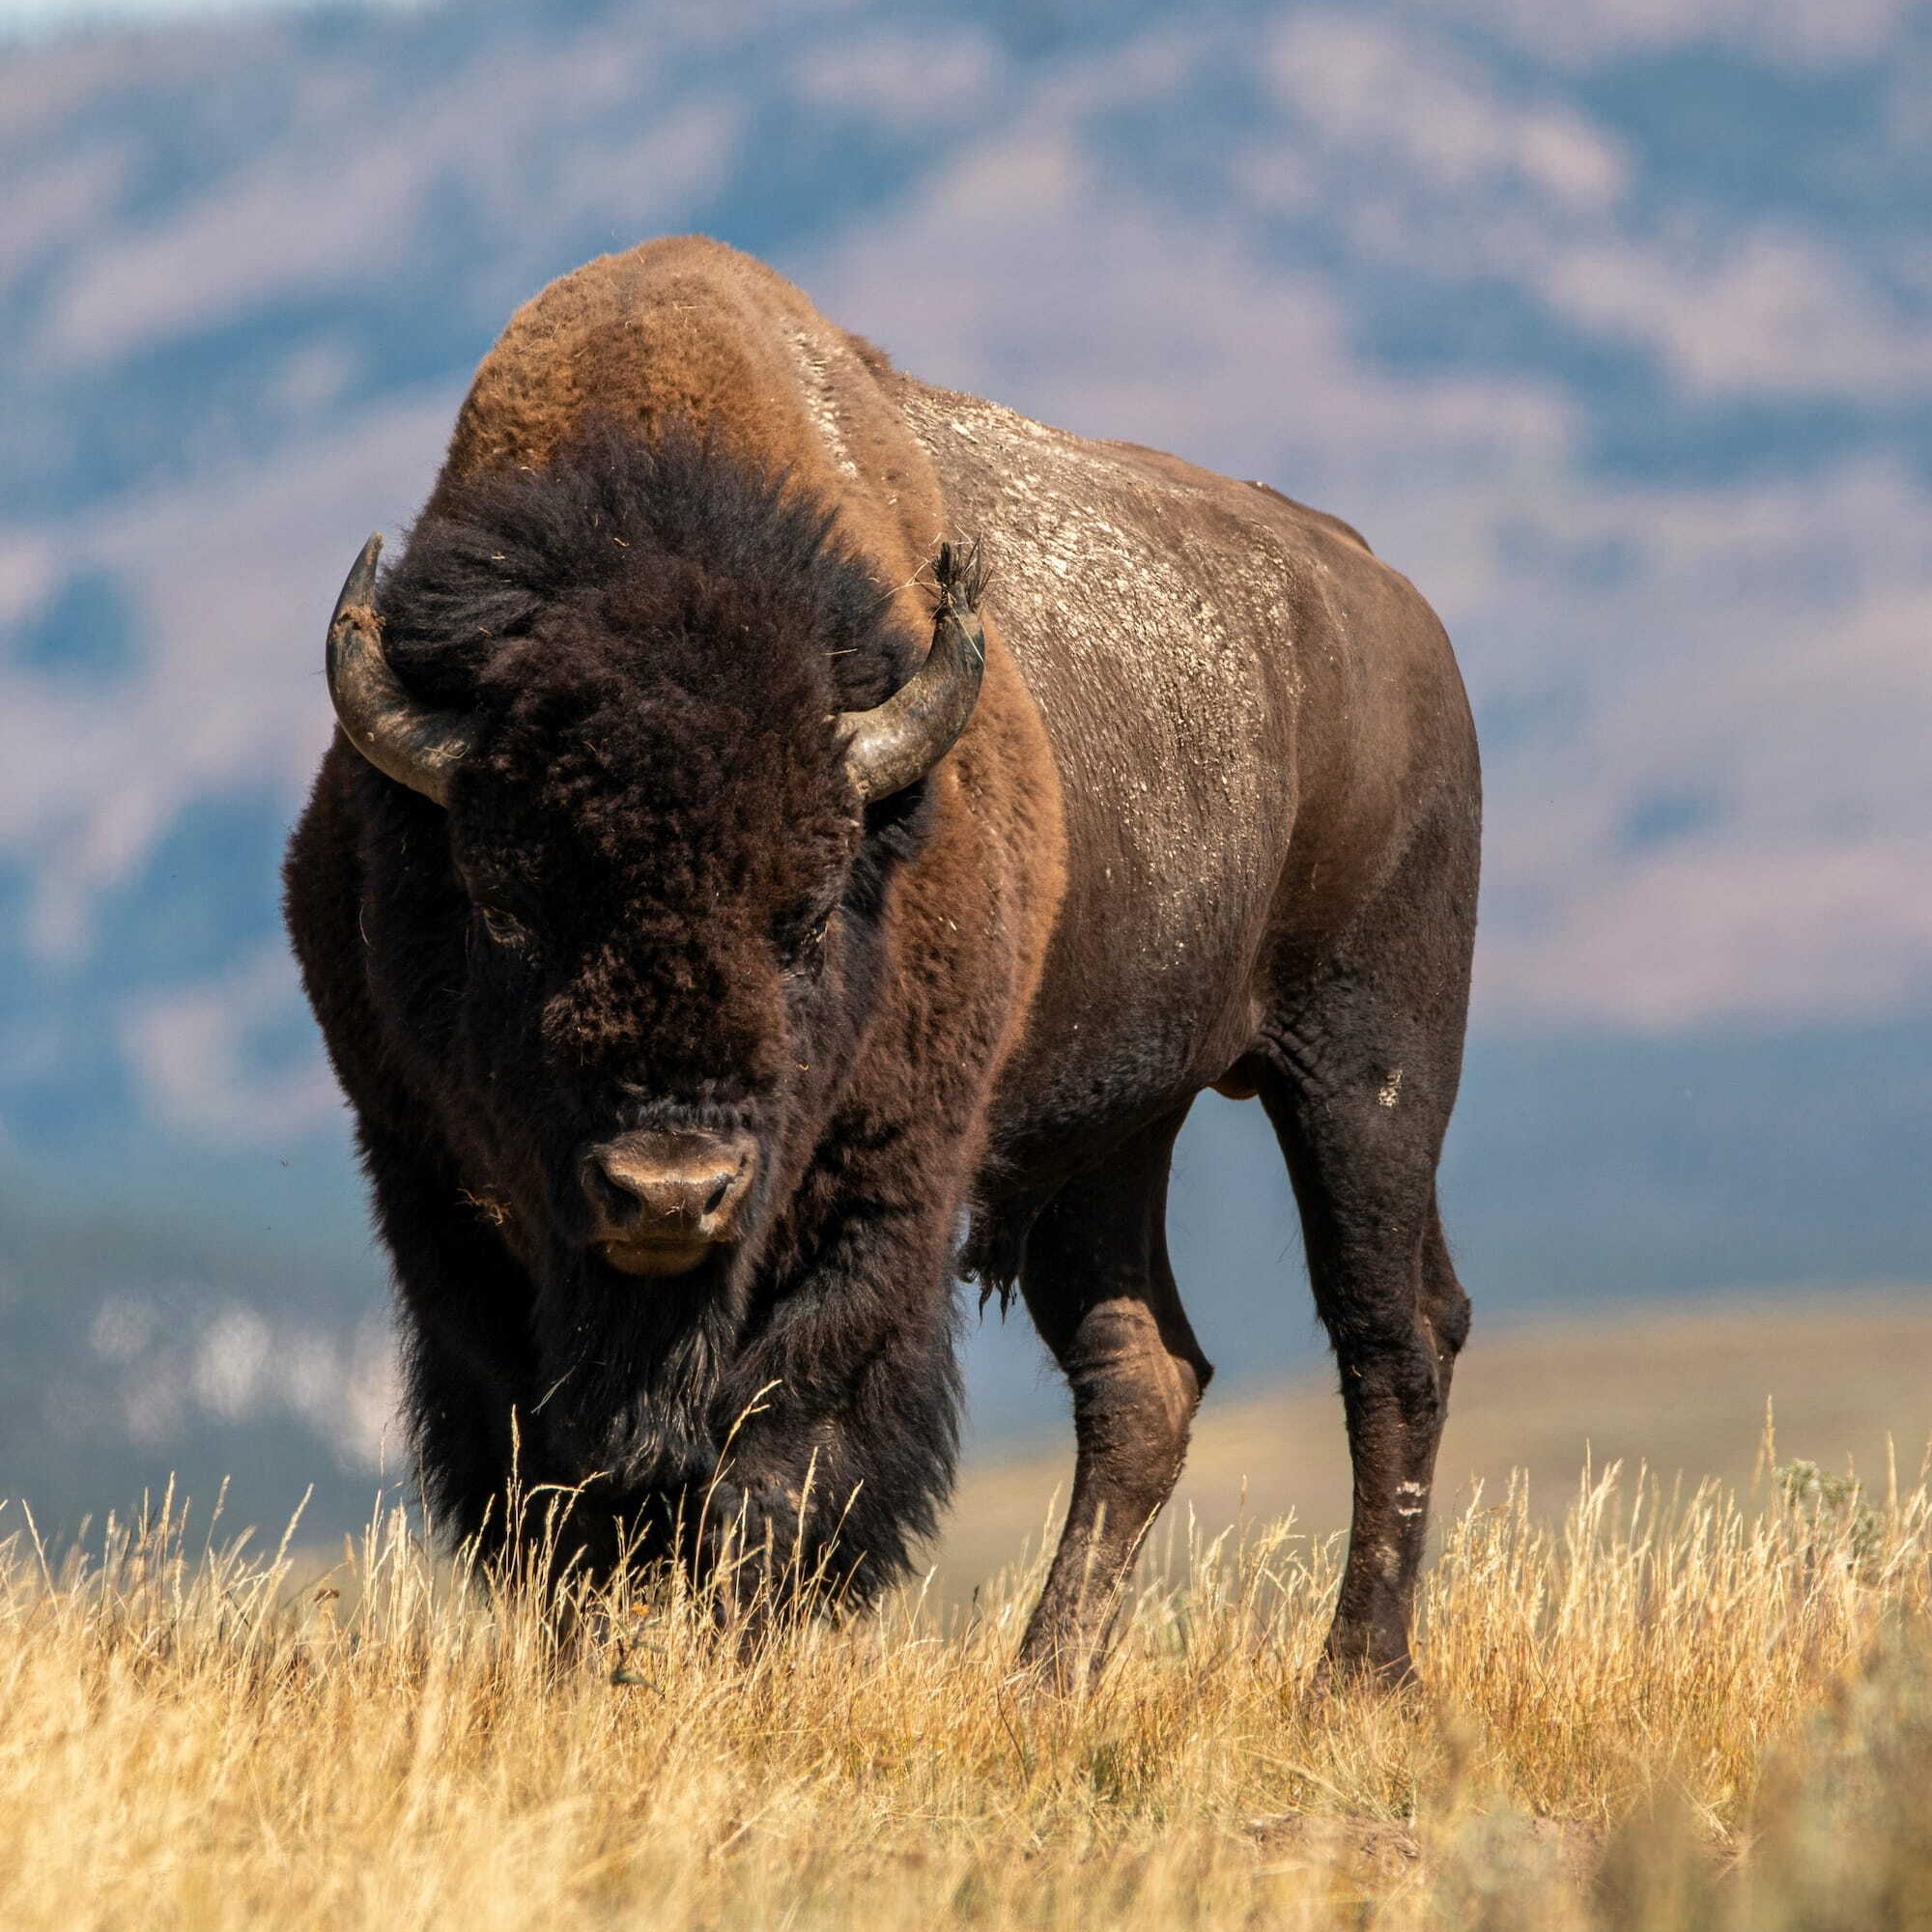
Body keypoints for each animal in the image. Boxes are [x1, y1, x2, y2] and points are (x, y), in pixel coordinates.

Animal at [285, 236, 1480, 1682]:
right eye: (506, 911)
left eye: (805, 916)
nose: (670, 1190)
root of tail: (1387, 602)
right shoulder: (435, 1184)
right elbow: (543, 1474)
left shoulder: (881, 1187)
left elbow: (784, 1446)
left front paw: (736, 1656)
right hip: (1109, 1133)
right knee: (1143, 1373)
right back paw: (1044, 1677)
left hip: (1368, 1068)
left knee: (1390, 1335)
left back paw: (1354, 1676)